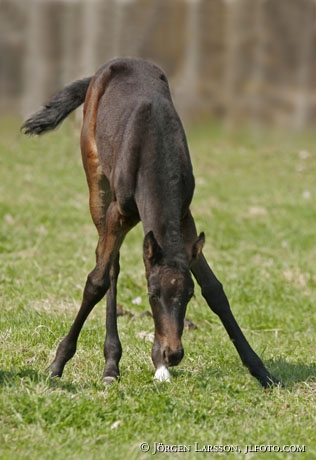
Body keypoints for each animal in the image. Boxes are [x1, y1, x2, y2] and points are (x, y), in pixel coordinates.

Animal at [22, 58, 278, 388]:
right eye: (152, 295)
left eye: (188, 295)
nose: (173, 353)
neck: (155, 148)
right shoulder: (118, 212)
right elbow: (96, 281)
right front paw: (57, 364)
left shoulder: (184, 217)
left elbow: (214, 289)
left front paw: (261, 370)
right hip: (97, 185)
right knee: (110, 266)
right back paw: (111, 364)